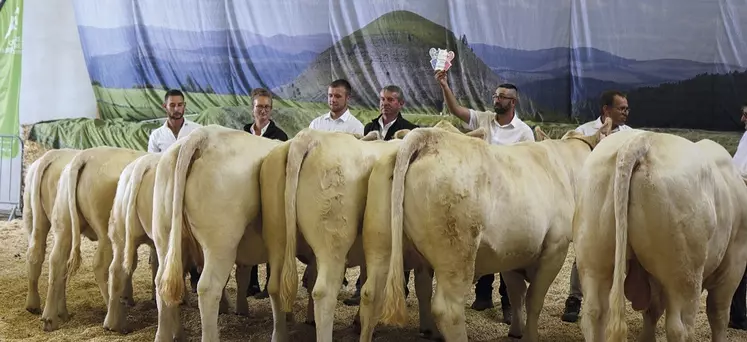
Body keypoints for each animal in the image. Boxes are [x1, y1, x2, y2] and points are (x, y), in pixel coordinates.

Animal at [23, 148, 79, 314]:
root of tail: (52, 156)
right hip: (64, 223)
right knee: (59, 262)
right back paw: (60, 311)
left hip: (31, 216)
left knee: (35, 254)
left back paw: (33, 305)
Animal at [39, 146, 148, 330]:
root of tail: (84, 156)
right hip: (106, 232)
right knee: (101, 266)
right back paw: (114, 315)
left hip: (64, 224)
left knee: (56, 261)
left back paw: (51, 318)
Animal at [380, 119, 612, 340]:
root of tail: (430, 137)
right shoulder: (556, 248)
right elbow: (534, 299)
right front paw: (530, 336)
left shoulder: (512, 251)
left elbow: (517, 293)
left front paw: (517, 331)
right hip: (456, 254)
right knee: (448, 309)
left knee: (422, 289)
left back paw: (431, 332)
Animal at [576, 130, 747, 340]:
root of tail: (641, 139)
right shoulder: (734, 264)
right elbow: (719, 313)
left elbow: (653, 309)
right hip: (685, 274)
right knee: (679, 327)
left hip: (593, 259)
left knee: (595, 313)